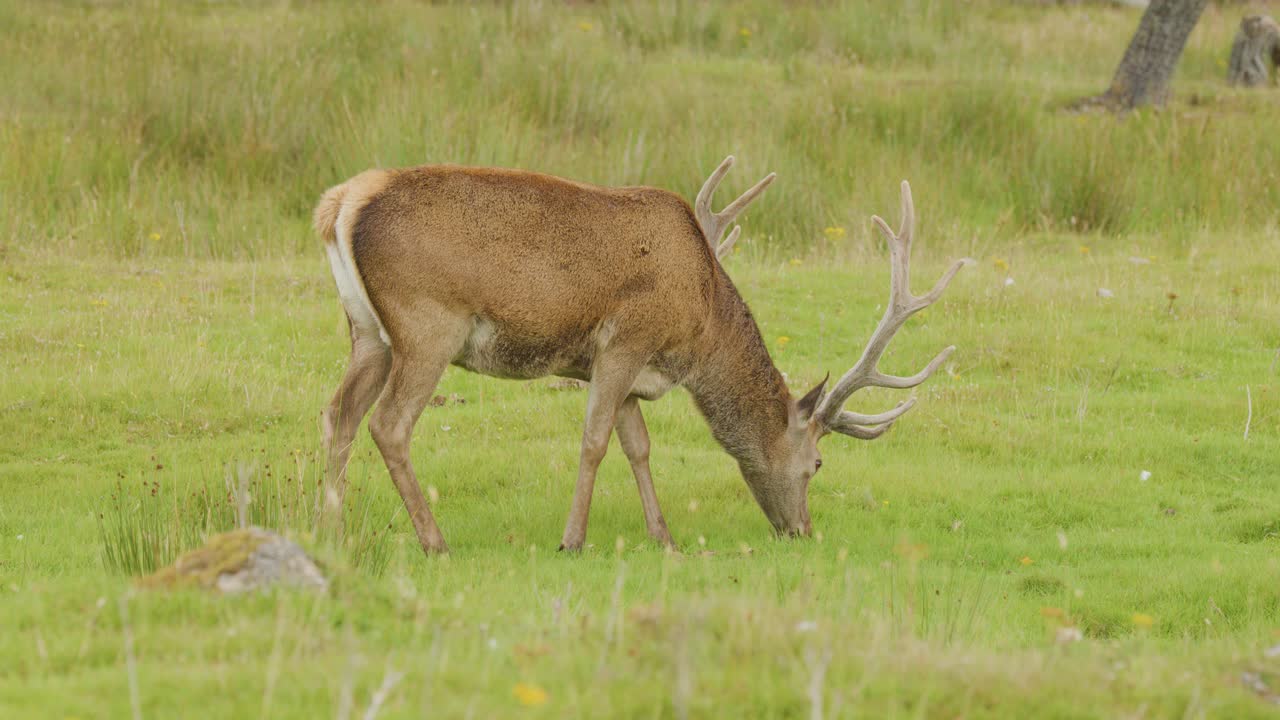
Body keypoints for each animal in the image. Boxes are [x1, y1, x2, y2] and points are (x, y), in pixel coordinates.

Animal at [314, 156, 962, 555]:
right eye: (818, 465)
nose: (802, 531)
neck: (697, 327)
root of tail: (341, 203)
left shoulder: (627, 369)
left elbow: (638, 445)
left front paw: (664, 537)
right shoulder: (623, 342)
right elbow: (596, 439)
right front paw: (572, 539)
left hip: (366, 331)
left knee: (338, 414)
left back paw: (334, 532)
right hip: (428, 325)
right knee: (388, 424)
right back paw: (435, 541)